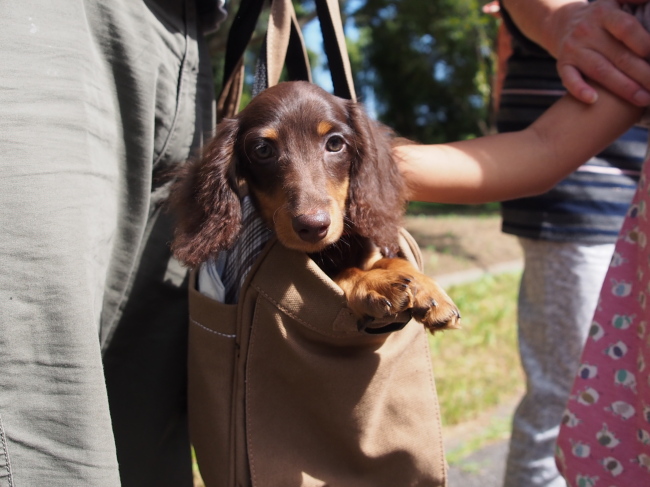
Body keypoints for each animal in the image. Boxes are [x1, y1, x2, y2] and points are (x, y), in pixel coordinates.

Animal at [170, 82, 458, 334]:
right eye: (262, 150)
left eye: (335, 143)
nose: (313, 227)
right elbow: (344, 272)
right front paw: (375, 283)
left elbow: (392, 259)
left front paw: (426, 287)